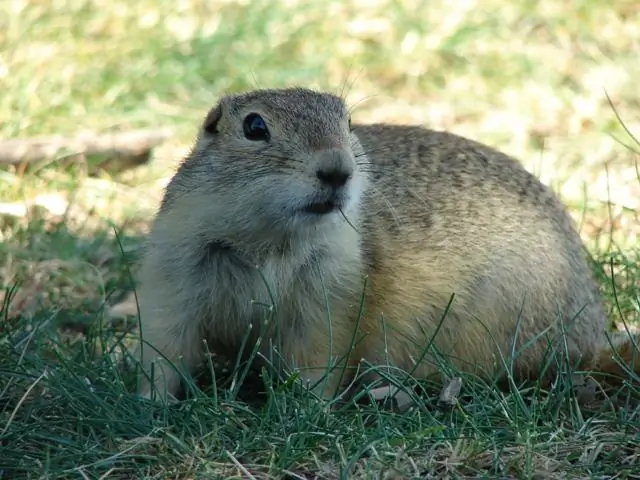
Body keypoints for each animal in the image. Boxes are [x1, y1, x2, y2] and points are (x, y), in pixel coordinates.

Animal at [132, 87, 636, 404]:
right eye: (255, 127)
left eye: (348, 121)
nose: (338, 169)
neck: (269, 240)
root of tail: (593, 336)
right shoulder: (174, 267)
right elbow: (164, 346)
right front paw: (152, 405)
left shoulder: (333, 290)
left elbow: (317, 357)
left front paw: (304, 408)